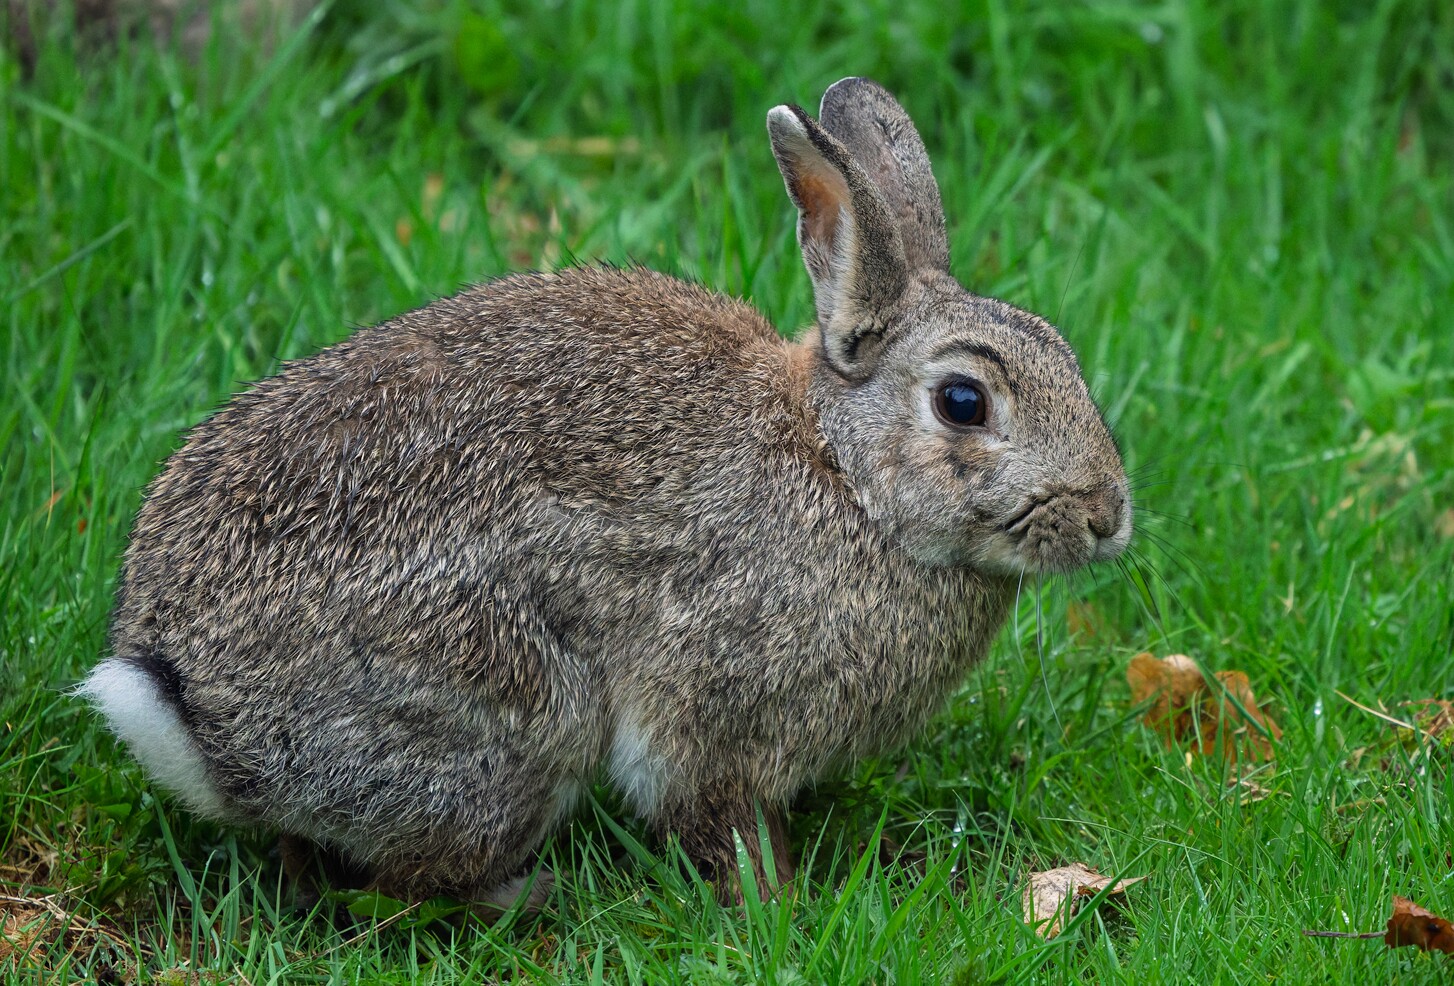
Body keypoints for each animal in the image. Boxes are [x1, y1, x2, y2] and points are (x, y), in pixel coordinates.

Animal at [78, 77, 1132, 909]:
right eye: (964, 402)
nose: (1107, 517)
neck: (845, 474)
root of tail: (190, 707)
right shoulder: (709, 709)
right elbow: (715, 815)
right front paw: (778, 906)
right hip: (511, 714)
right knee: (402, 882)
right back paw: (526, 893)